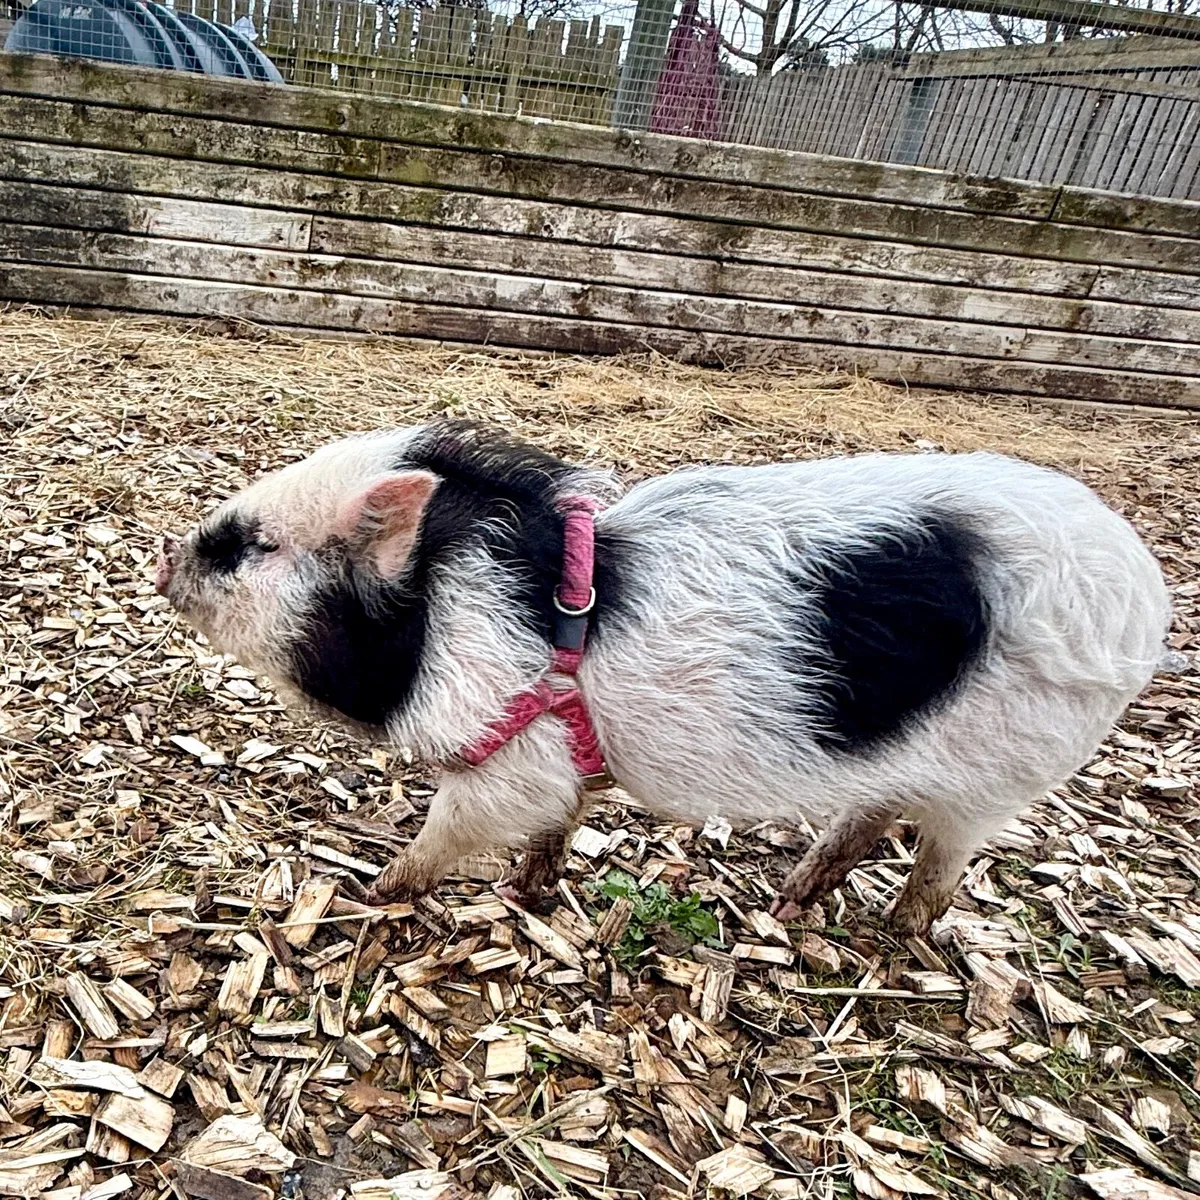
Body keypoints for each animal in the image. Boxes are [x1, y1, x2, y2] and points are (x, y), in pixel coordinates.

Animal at [156, 421, 1171, 934]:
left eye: (250, 546)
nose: (164, 565)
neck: (439, 613)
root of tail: (1146, 590)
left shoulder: (505, 764)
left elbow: (453, 834)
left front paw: (373, 895)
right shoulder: (561, 766)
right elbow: (558, 826)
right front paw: (527, 895)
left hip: (999, 776)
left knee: (940, 860)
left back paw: (895, 933)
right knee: (872, 813)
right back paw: (792, 901)